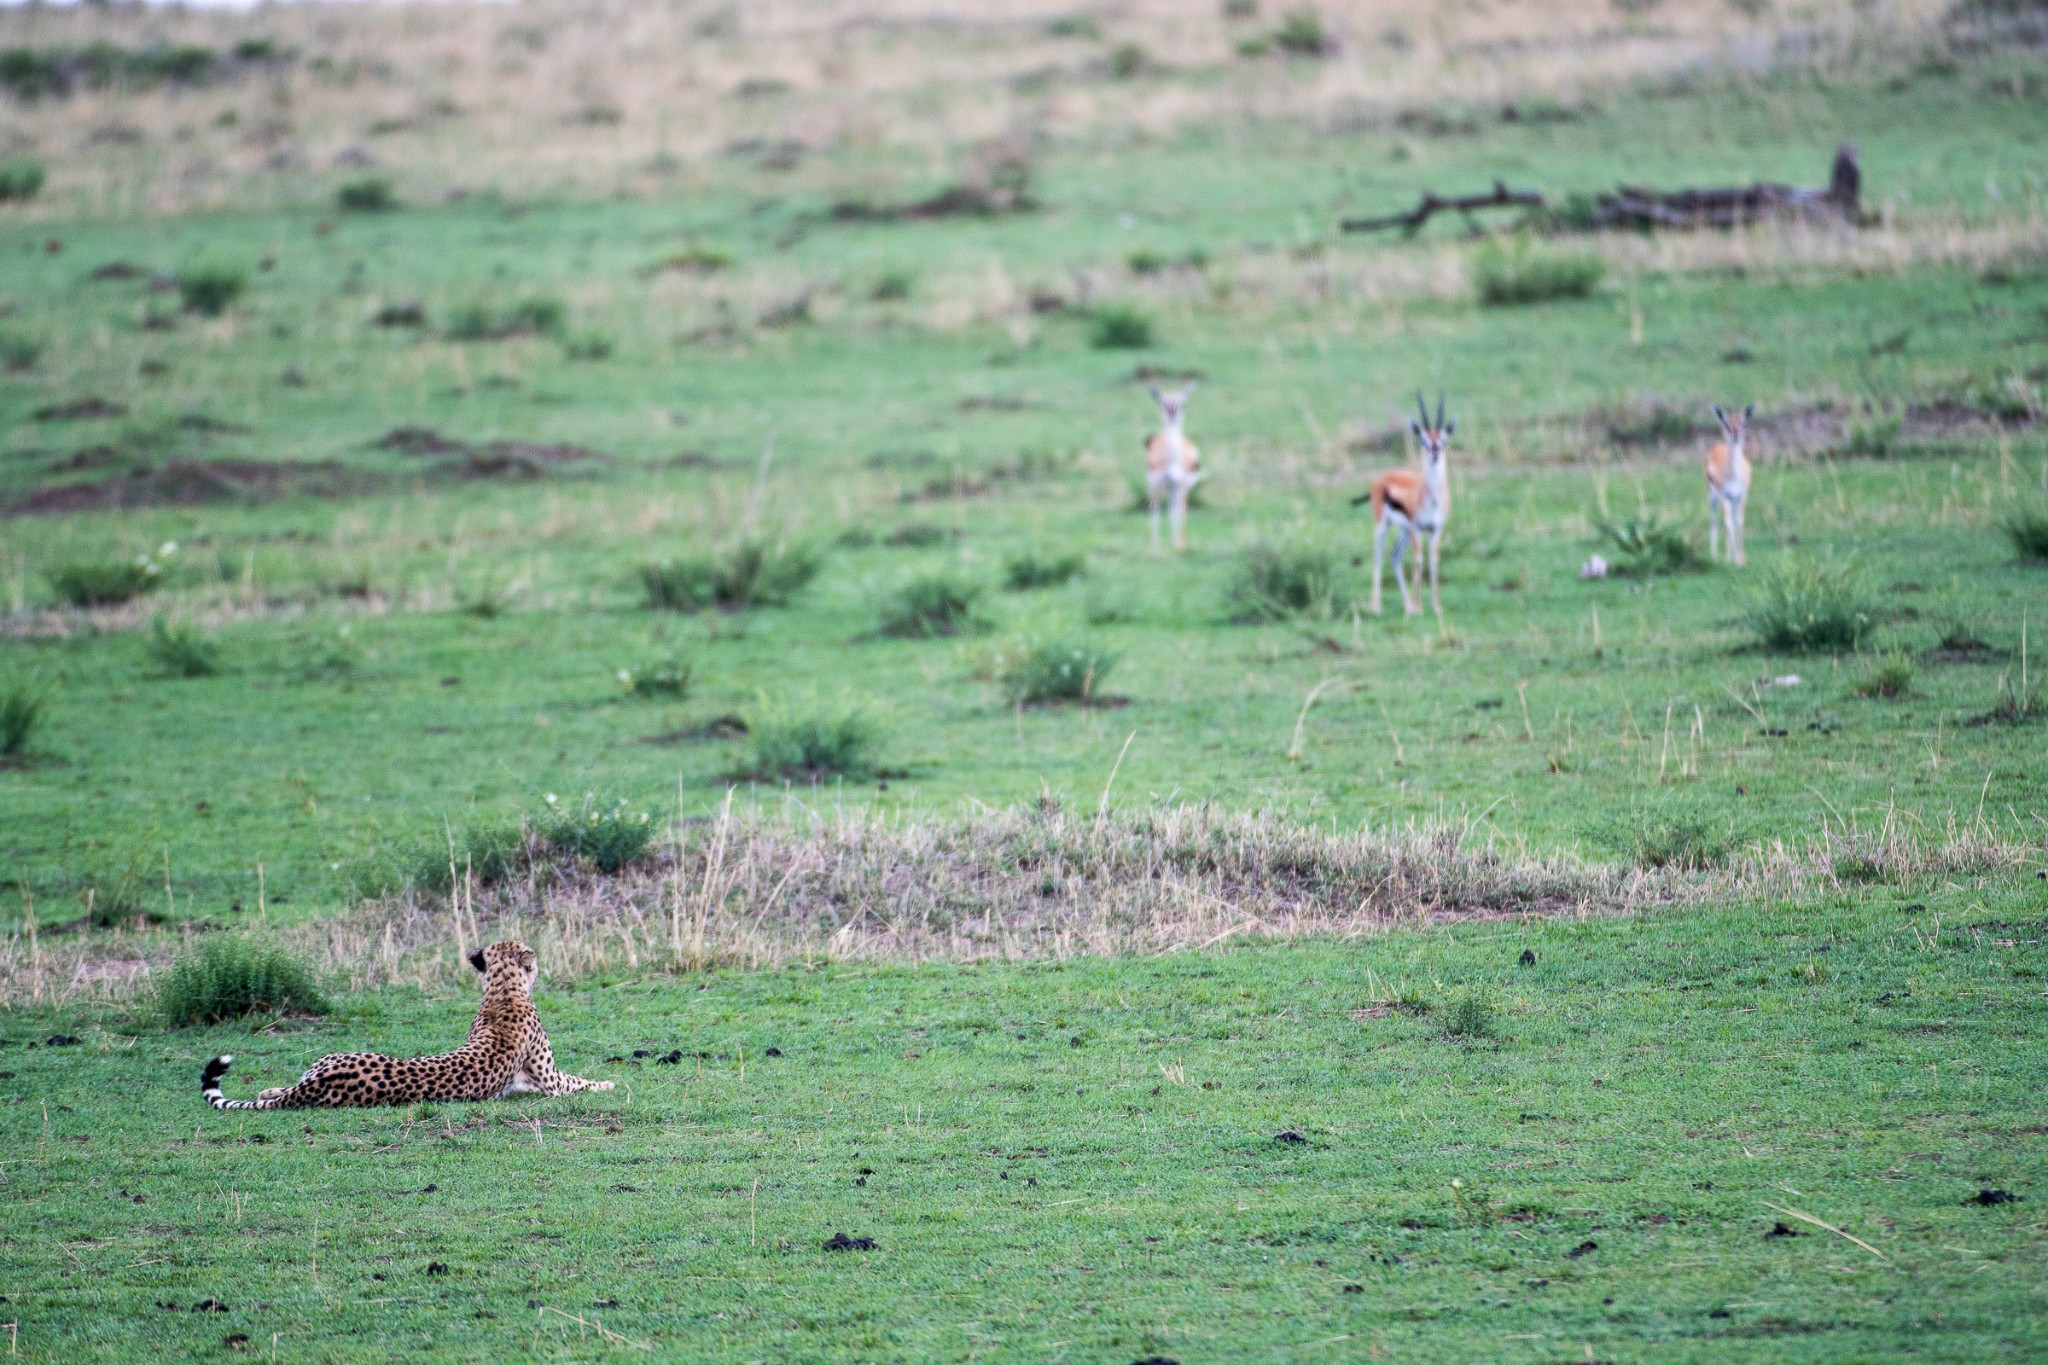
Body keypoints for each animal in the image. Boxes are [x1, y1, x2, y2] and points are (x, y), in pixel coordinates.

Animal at [198, 941, 614, 1113]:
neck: (503, 990)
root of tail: (318, 1083)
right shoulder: (551, 1080)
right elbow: (580, 1082)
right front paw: (611, 1084)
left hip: (318, 1066)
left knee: (283, 1089)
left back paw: (269, 1090)